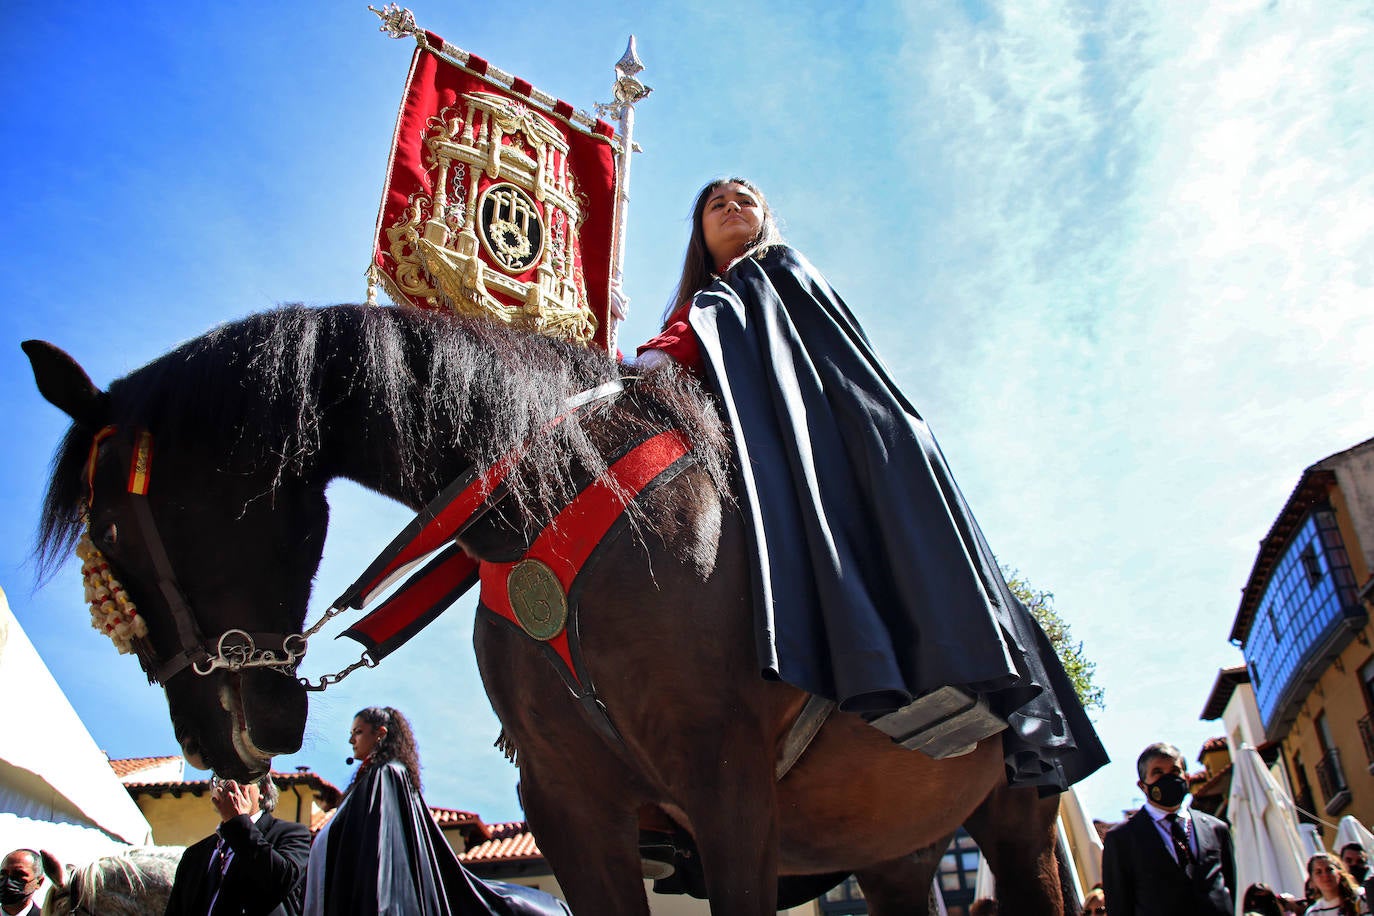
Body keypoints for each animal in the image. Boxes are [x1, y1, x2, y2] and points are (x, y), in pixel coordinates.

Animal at [26, 307, 1066, 916]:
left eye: (110, 529)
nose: (201, 740)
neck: (552, 500)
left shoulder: (727, 785)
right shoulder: (570, 807)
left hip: (1019, 828)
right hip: (896, 850)